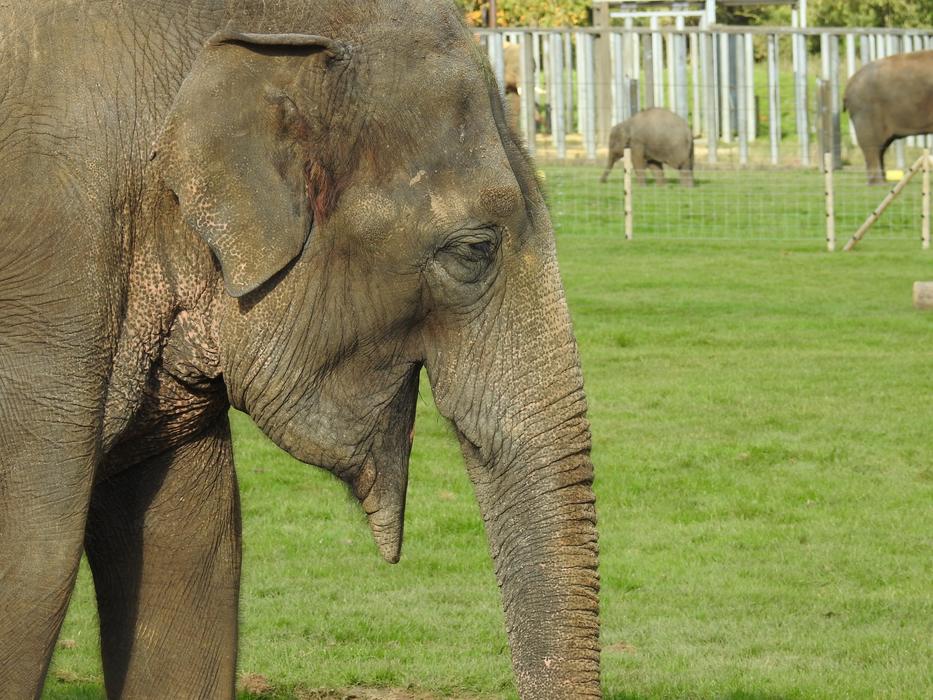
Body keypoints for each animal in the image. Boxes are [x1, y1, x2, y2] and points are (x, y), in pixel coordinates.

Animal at [844, 50, 933, 185]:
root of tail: (849, 82)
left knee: (881, 147)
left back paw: (883, 182)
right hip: (867, 112)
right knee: (872, 146)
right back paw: (878, 184)